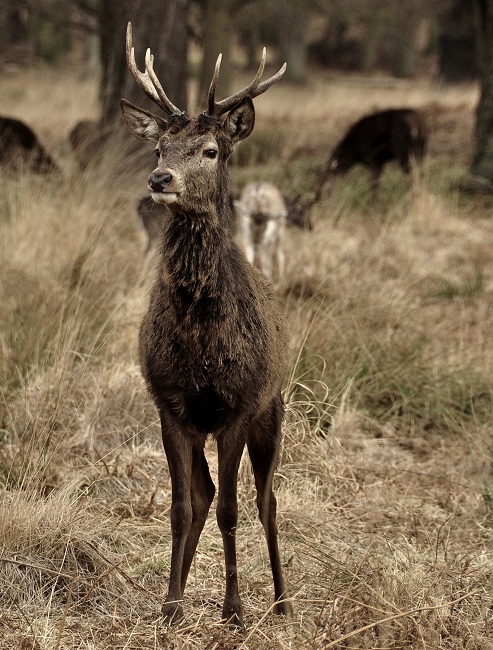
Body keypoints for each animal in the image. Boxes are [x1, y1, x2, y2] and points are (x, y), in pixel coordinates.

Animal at [119, 22, 292, 624]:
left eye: (211, 149)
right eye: (159, 146)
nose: (160, 177)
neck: (202, 345)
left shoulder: (237, 406)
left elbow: (234, 510)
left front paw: (234, 609)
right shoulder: (171, 404)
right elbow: (182, 505)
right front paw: (171, 602)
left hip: (274, 410)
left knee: (266, 500)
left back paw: (283, 599)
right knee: (205, 493)